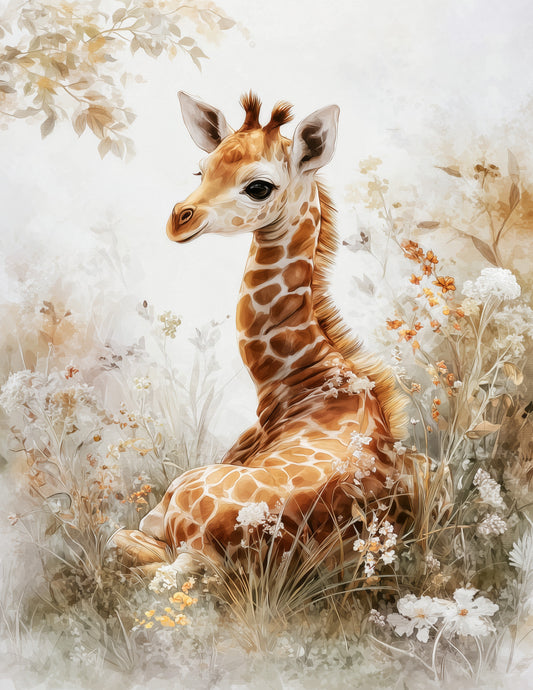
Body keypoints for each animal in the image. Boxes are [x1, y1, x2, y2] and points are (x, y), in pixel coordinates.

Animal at [113, 92, 418, 569]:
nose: (179, 220)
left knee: (128, 545)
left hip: (179, 503)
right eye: (201, 169)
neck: (305, 377)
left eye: (259, 187)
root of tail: (208, 549)